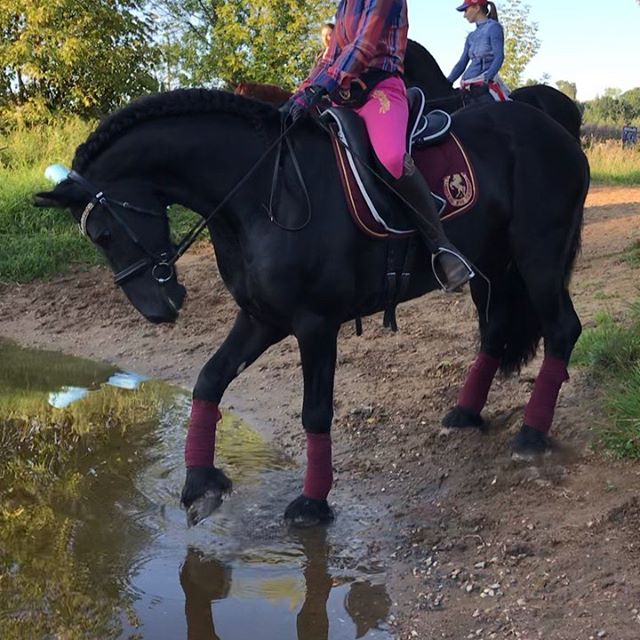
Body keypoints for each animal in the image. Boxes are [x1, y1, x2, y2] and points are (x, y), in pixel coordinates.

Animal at [37, 91, 592, 528]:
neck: (262, 194)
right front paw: (200, 484)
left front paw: (312, 503)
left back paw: (531, 434)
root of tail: (554, 128)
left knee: (563, 329)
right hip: (495, 267)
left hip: (538, 257)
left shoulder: (315, 325)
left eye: (103, 233)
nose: (160, 309)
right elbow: (209, 380)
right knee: (496, 331)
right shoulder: (262, 318)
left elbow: (315, 412)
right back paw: (466, 413)